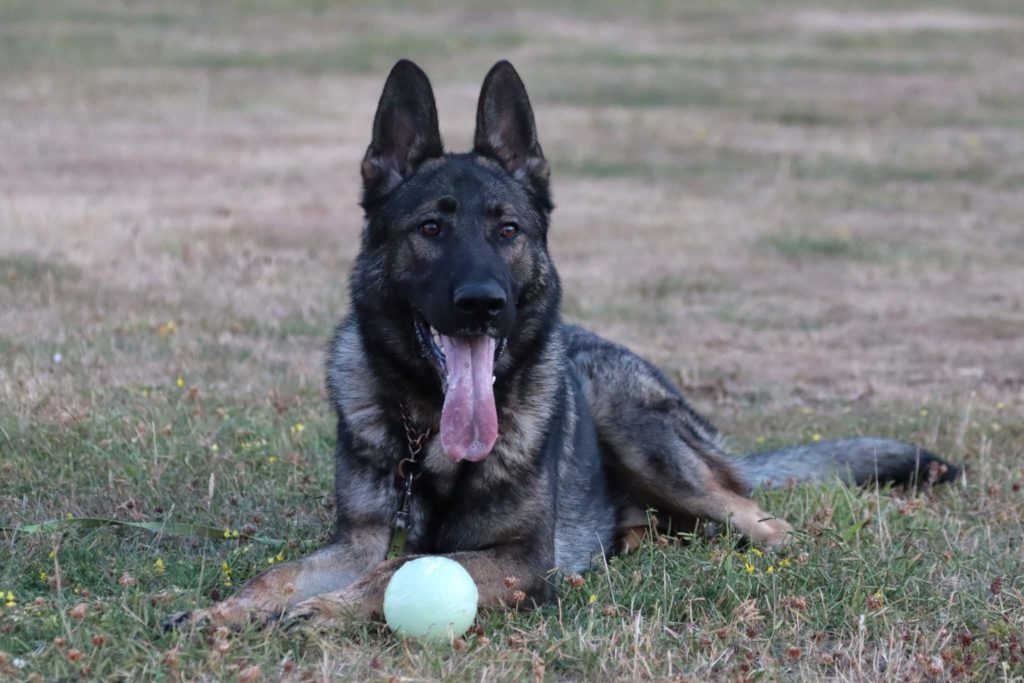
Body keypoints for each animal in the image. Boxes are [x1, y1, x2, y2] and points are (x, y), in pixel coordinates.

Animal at [165, 61, 958, 634]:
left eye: (508, 229)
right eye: (430, 229)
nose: (482, 303)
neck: (429, 434)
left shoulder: (519, 559)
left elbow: (387, 575)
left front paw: (321, 610)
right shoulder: (356, 536)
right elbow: (282, 573)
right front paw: (225, 610)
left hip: (638, 429)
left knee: (763, 520)